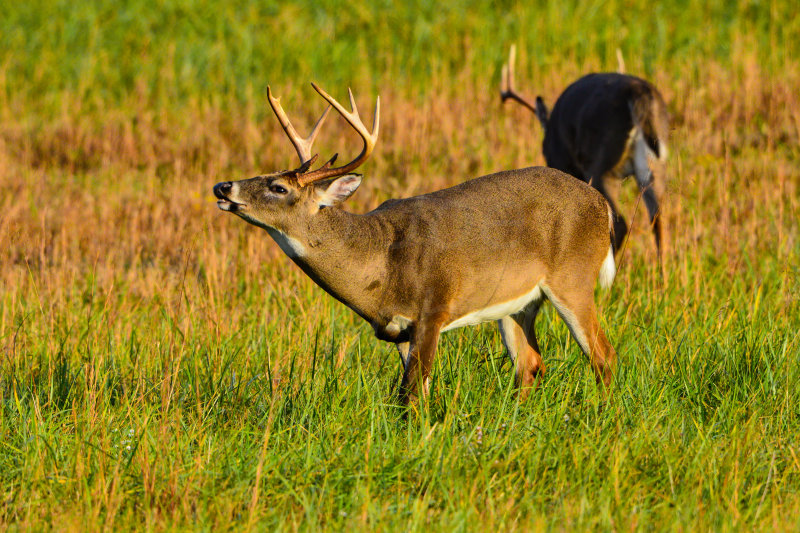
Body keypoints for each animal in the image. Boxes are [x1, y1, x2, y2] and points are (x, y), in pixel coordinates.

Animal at [212, 82, 620, 404]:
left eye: (278, 187)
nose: (222, 186)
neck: (380, 261)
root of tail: (602, 205)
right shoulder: (397, 331)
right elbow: (409, 394)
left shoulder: (433, 307)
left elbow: (411, 394)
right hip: (516, 303)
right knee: (530, 364)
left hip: (573, 278)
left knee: (603, 355)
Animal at [500, 45, 668, 260]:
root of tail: (637, 93)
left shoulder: (561, 160)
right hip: (654, 163)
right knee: (658, 221)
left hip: (603, 163)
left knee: (619, 223)